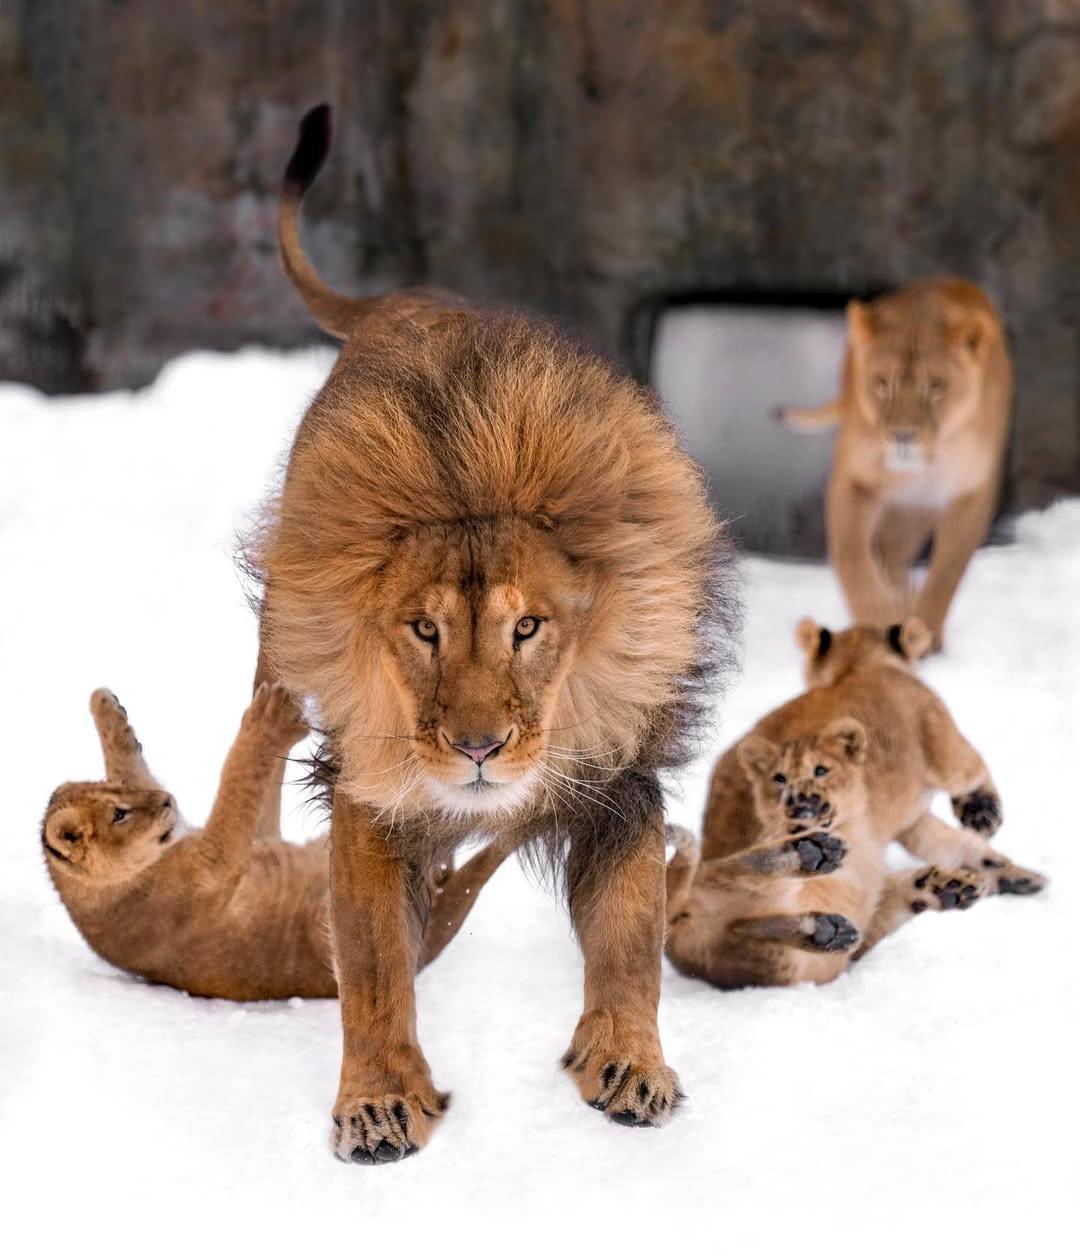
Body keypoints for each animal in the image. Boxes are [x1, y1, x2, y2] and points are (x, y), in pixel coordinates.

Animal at [253, 105, 730, 1159]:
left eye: (529, 628)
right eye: (422, 630)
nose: (477, 748)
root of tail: (403, 298)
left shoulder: (617, 775)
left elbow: (630, 942)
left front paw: (628, 1061)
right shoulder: (371, 787)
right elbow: (375, 967)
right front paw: (380, 1098)